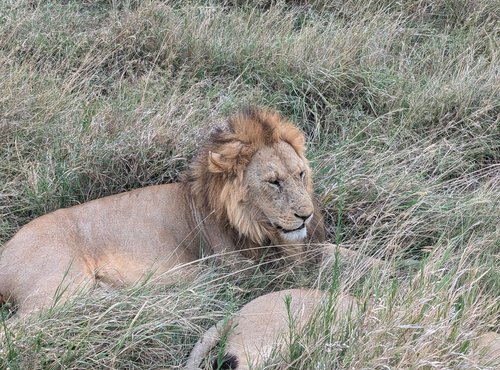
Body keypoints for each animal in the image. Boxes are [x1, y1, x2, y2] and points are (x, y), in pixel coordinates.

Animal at [0, 107, 326, 316]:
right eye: (273, 182)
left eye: (300, 175)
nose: (306, 215)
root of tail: (5, 251)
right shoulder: (242, 272)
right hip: (58, 286)